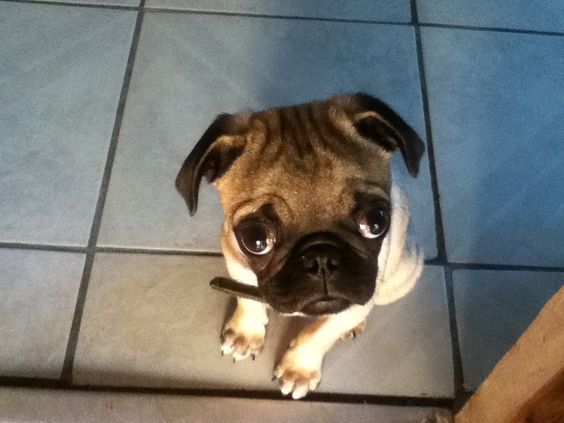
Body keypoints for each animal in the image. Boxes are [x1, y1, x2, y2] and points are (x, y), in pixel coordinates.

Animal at [175, 93, 424, 400]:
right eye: (256, 240)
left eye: (376, 222)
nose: (321, 259)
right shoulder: (236, 263)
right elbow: (248, 300)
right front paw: (247, 334)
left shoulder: (356, 300)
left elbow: (319, 333)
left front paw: (299, 370)